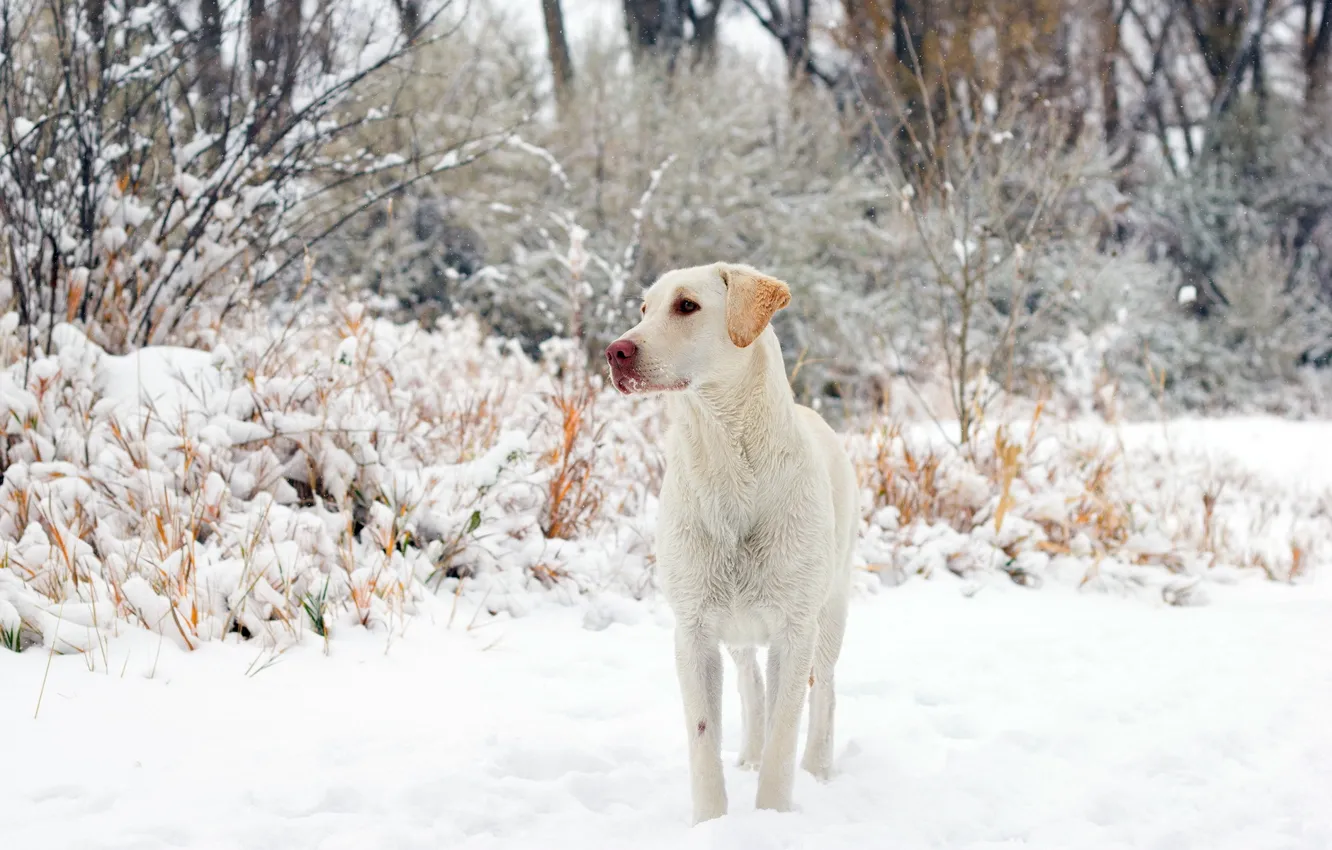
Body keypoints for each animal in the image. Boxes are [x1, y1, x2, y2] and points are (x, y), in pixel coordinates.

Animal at [607, 263, 857, 820]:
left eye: (686, 306)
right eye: (643, 309)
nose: (614, 351)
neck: (727, 459)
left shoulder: (794, 630)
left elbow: (785, 734)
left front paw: (772, 816)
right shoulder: (693, 632)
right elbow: (704, 739)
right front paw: (711, 821)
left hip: (830, 611)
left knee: (826, 692)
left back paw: (819, 768)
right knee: (750, 682)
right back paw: (748, 755)